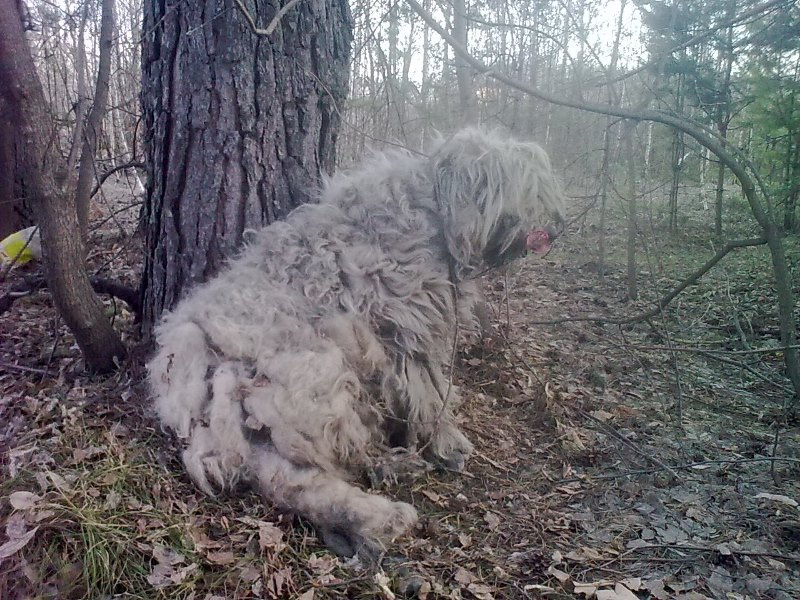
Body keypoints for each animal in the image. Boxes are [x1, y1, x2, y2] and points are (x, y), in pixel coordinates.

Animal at [148, 128, 566, 557]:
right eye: (531, 187)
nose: (558, 226)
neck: (430, 208)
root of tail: (194, 385)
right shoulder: (411, 334)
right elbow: (431, 396)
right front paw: (449, 444)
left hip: (264, 424)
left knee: (285, 479)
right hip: (320, 378)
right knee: (310, 470)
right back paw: (382, 510)